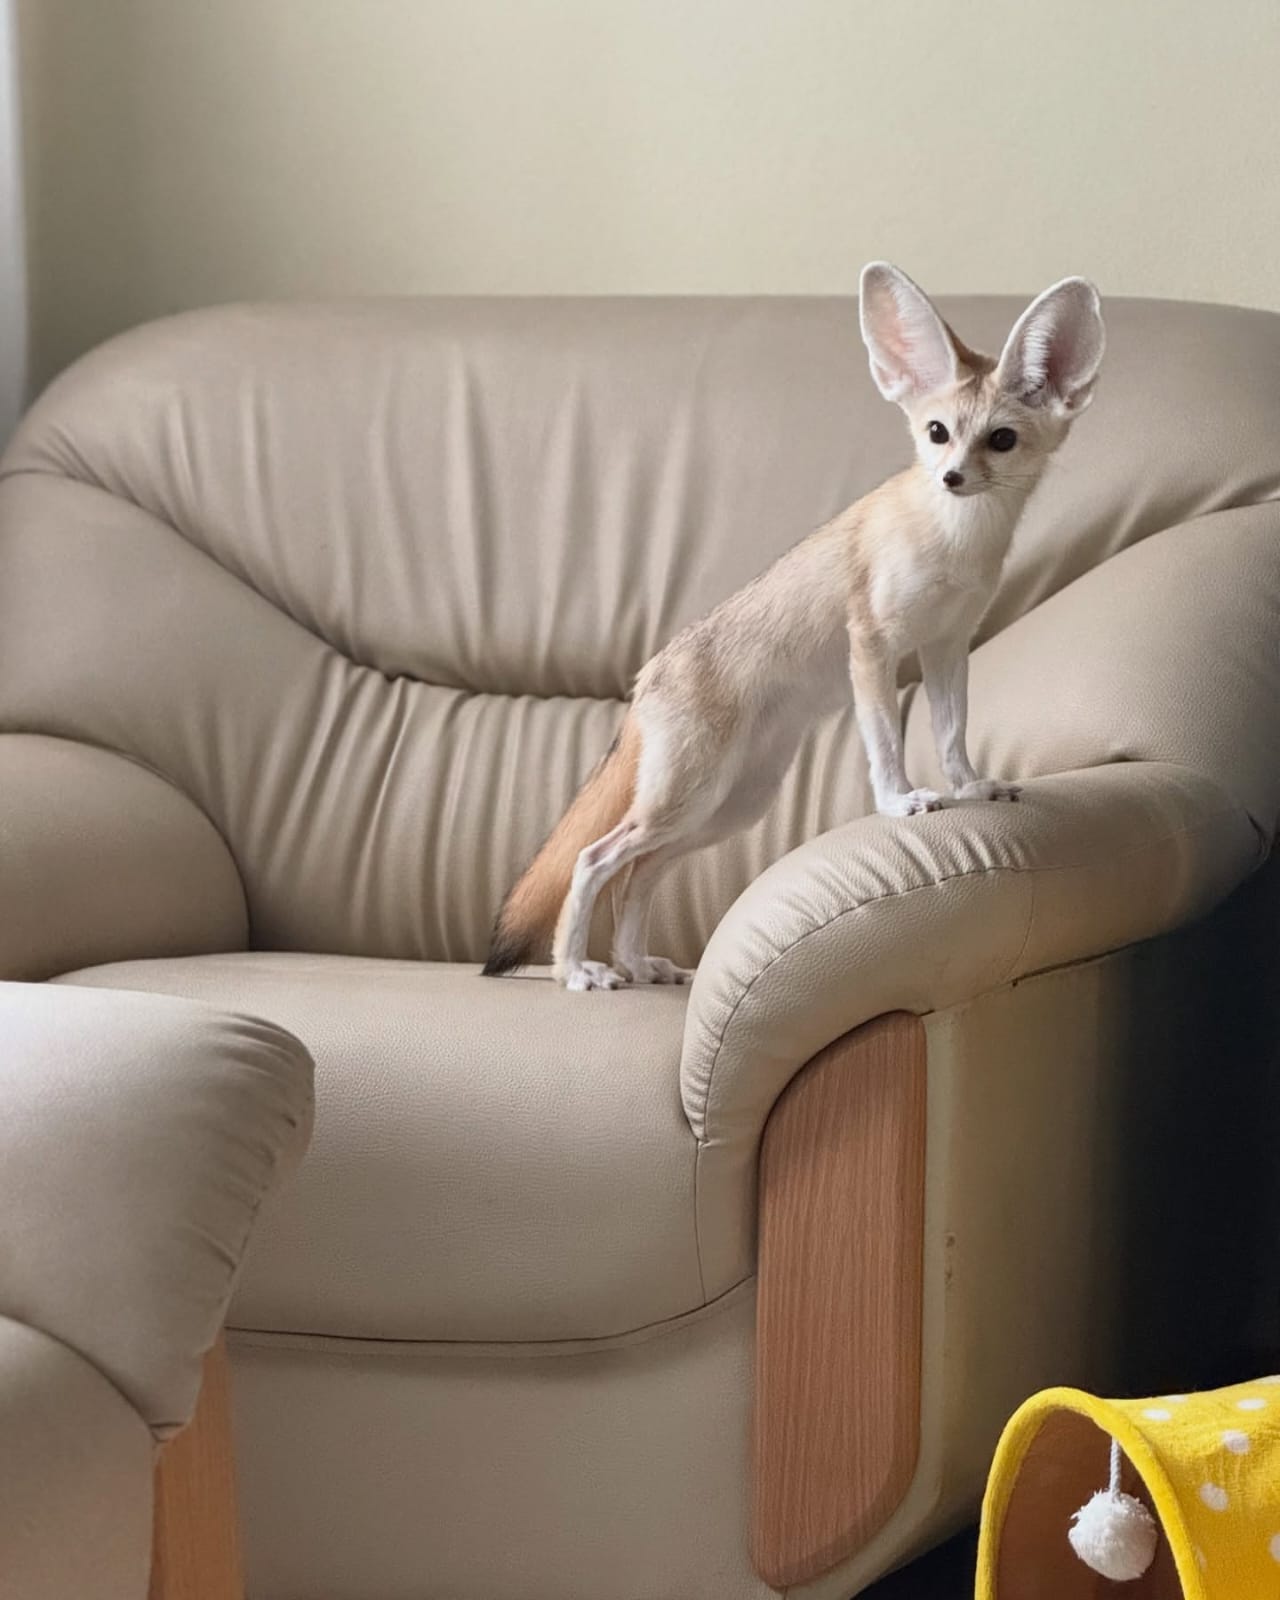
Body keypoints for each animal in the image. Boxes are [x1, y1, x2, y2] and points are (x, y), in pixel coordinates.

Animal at [483, 263, 1105, 991]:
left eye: (1001, 439)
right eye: (937, 432)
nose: (951, 477)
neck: (955, 542)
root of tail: (646, 677)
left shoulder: (947, 645)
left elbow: (952, 733)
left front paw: (971, 785)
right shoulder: (871, 643)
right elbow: (884, 743)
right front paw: (899, 802)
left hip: (725, 808)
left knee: (638, 874)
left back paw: (637, 964)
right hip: (687, 800)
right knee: (594, 858)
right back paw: (578, 970)